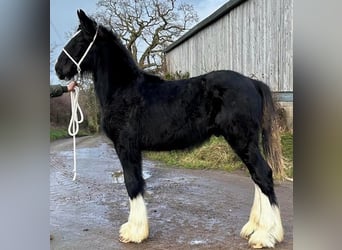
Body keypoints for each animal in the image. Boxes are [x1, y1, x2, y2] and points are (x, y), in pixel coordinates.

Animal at [56, 9, 284, 248]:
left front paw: (135, 232)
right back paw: (255, 228)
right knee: (256, 177)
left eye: (80, 40)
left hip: (242, 140)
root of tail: (253, 83)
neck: (124, 90)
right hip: (246, 142)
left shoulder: (126, 146)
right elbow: (137, 182)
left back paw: (265, 235)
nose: (58, 68)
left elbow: (132, 183)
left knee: (262, 174)